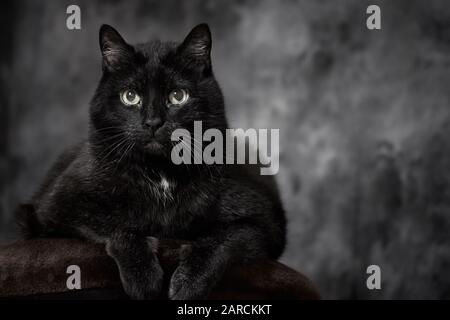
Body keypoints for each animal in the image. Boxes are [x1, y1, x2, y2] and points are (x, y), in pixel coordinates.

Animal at [17, 23, 286, 298]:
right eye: (130, 96)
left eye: (178, 95)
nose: (153, 122)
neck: (161, 174)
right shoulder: (55, 210)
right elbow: (117, 224)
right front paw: (143, 278)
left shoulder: (265, 221)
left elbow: (223, 237)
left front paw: (189, 283)